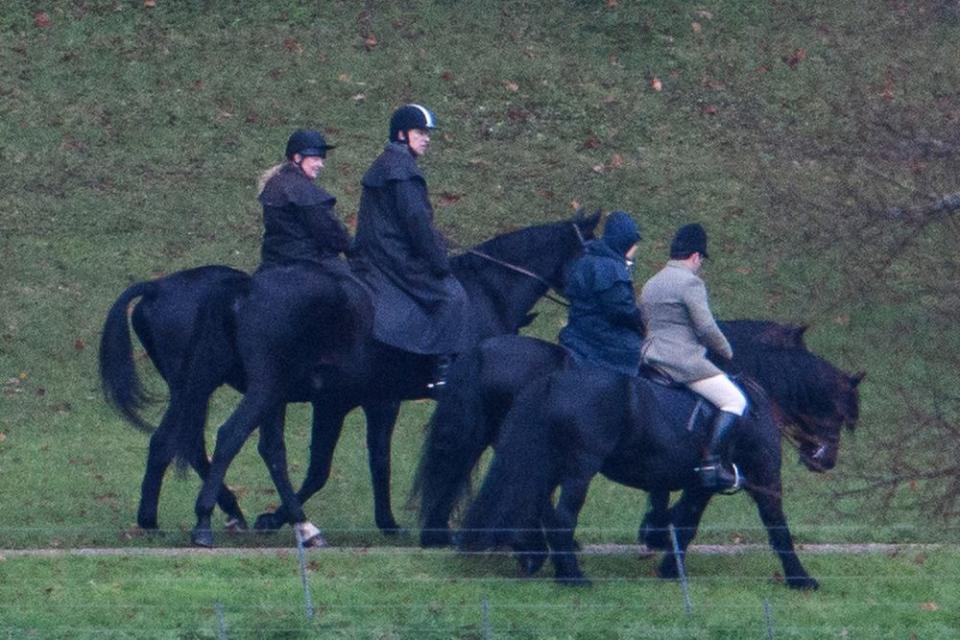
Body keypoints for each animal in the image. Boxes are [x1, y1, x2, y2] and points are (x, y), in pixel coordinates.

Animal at [103, 212, 600, 544]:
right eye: (594, 250)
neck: (485, 292)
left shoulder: (361, 400)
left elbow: (365, 460)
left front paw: (387, 521)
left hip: (210, 389)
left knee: (179, 442)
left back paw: (162, 516)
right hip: (248, 388)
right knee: (223, 438)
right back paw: (211, 519)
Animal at [454, 358, 844, 588]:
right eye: (842, 412)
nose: (826, 461)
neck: (757, 404)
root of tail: (554, 381)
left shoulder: (701, 484)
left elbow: (686, 522)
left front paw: (669, 565)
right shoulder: (764, 478)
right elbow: (777, 526)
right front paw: (801, 578)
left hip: (549, 466)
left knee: (541, 511)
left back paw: (545, 562)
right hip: (579, 469)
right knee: (562, 517)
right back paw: (574, 578)